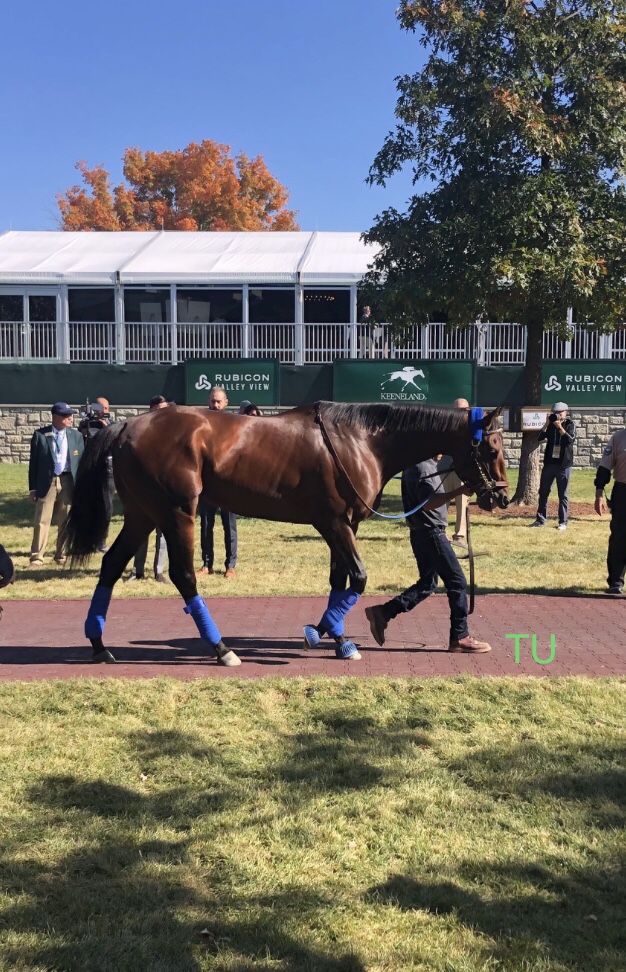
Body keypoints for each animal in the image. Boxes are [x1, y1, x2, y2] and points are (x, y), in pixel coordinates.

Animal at [64, 398, 508, 664]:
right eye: (492, 449)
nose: (500, 497)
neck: (360, 439)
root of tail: (127, 426)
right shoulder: (334, 522)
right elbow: (359, 578)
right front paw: (321, 632)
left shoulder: (342, 524)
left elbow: (339, 579)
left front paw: (338, 638)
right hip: (177, 512)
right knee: (183, 575)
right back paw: (221, 648)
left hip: (142, 514)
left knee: (110, 565)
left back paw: (99, 645)